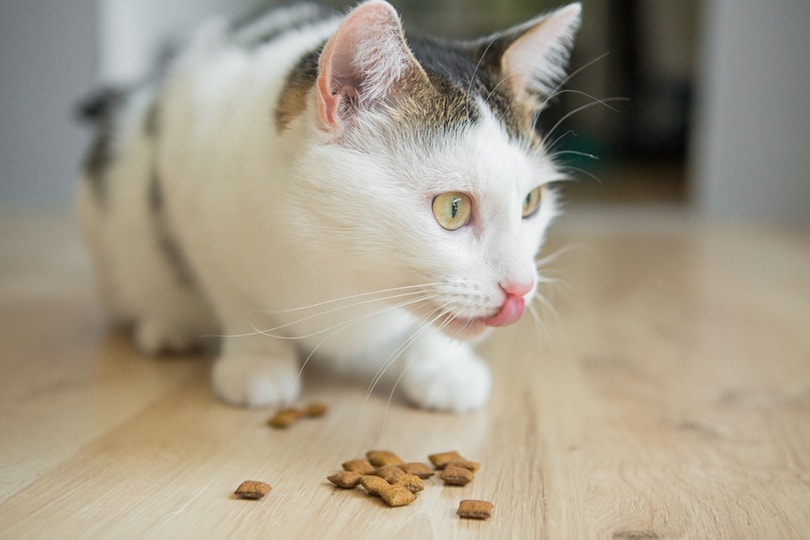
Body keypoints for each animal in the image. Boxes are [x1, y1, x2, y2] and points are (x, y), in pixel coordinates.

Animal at [77, 1, 580, 414]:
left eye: (531, 202)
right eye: (452, 209)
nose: (521, 288)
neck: (344, 275)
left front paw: (442, 368)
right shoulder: (195, 201)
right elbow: (238, 299)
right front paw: (257, 360)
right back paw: (167, 325)